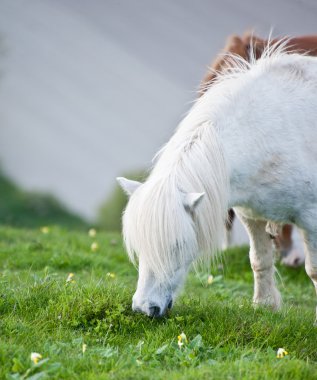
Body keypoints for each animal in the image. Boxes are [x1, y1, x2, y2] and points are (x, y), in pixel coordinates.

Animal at [117, 43, 316, 320]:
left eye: (178, 244)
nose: (146, 308)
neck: (267, 134)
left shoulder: (311, 219)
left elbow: (314, 270)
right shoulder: (251, 215)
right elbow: (260, 260)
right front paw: (265, 306)